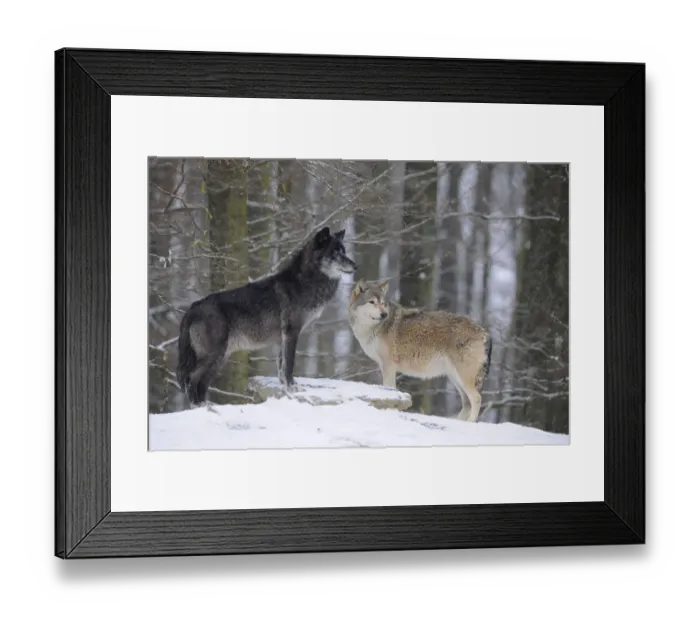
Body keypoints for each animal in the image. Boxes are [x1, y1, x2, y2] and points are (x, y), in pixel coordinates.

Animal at [176, 226, 357, 406]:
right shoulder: (291, 332)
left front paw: (286, 388)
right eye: (335, 253)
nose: (355, 266)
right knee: (192, 378)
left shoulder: (284, 337)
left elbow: (281, 365)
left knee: (201, 382)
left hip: (220, 357)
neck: (305, 281)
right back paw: (200, 406)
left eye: (344, 251)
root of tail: (193, 307)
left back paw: (206, 405)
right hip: (214, 355)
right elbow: (289, 363)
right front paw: (292, 388)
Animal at [347, 279, 493, 422]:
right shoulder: (384, 366)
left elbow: (390, 388)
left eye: (382, 303)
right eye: (372, 302)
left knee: (476, 398)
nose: (384, 314)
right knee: (467, 403)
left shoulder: (389, 366)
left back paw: (470, 422)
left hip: (463, 377)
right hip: (455, 377)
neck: (375, 328)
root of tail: (485, 332)